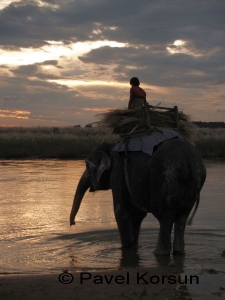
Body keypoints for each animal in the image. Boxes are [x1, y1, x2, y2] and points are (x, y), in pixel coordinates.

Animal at [70, 136, 206, 255]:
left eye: (87, 166)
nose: (73, 224)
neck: (111, 146)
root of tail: (192, 162)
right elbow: (137, 214)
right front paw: (134, 247)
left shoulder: (118, 173)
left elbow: (121, 212)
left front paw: (125, 248)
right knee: (181, 219)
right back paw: (178, 252)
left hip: (167, 179)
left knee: (165, 218)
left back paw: (159, 253)